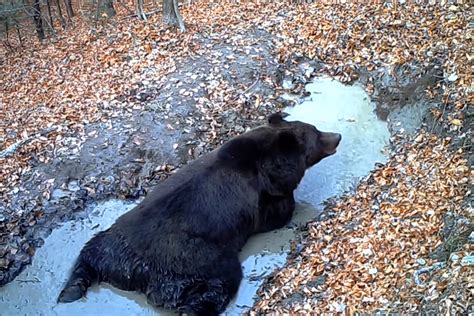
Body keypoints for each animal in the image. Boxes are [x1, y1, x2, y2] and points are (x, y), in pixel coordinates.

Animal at [57, 112, 340, 314]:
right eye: (316, 133)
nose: (337, 135)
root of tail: (134, 271)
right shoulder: (258, 198)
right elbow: (277, 213)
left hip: (112, 242)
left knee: (87, 256)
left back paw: (69, 291)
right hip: (194, 260)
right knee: (221, 281)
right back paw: (194, 308)